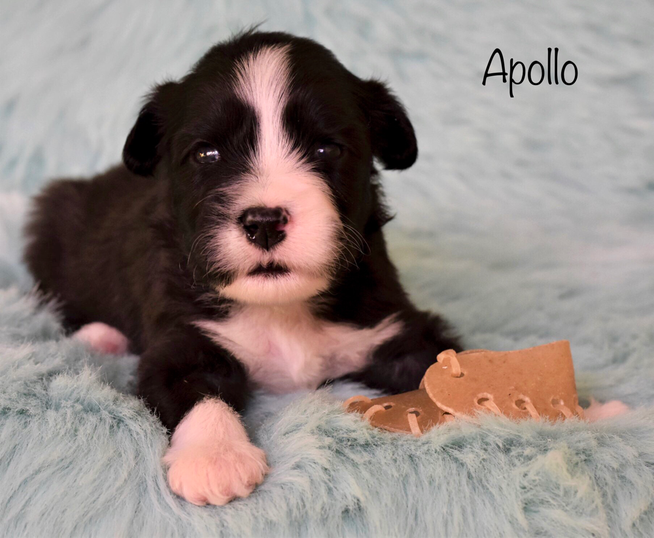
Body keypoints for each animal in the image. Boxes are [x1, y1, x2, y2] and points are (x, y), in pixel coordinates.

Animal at [24, 31, 462, 504]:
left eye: (326, 148)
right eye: (207, 154)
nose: (264, 222)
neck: (282, 309)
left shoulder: (394, 324)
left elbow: (439, 364)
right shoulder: (182, 334)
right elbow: (196, 389)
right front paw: (215, 459)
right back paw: (100, 336)